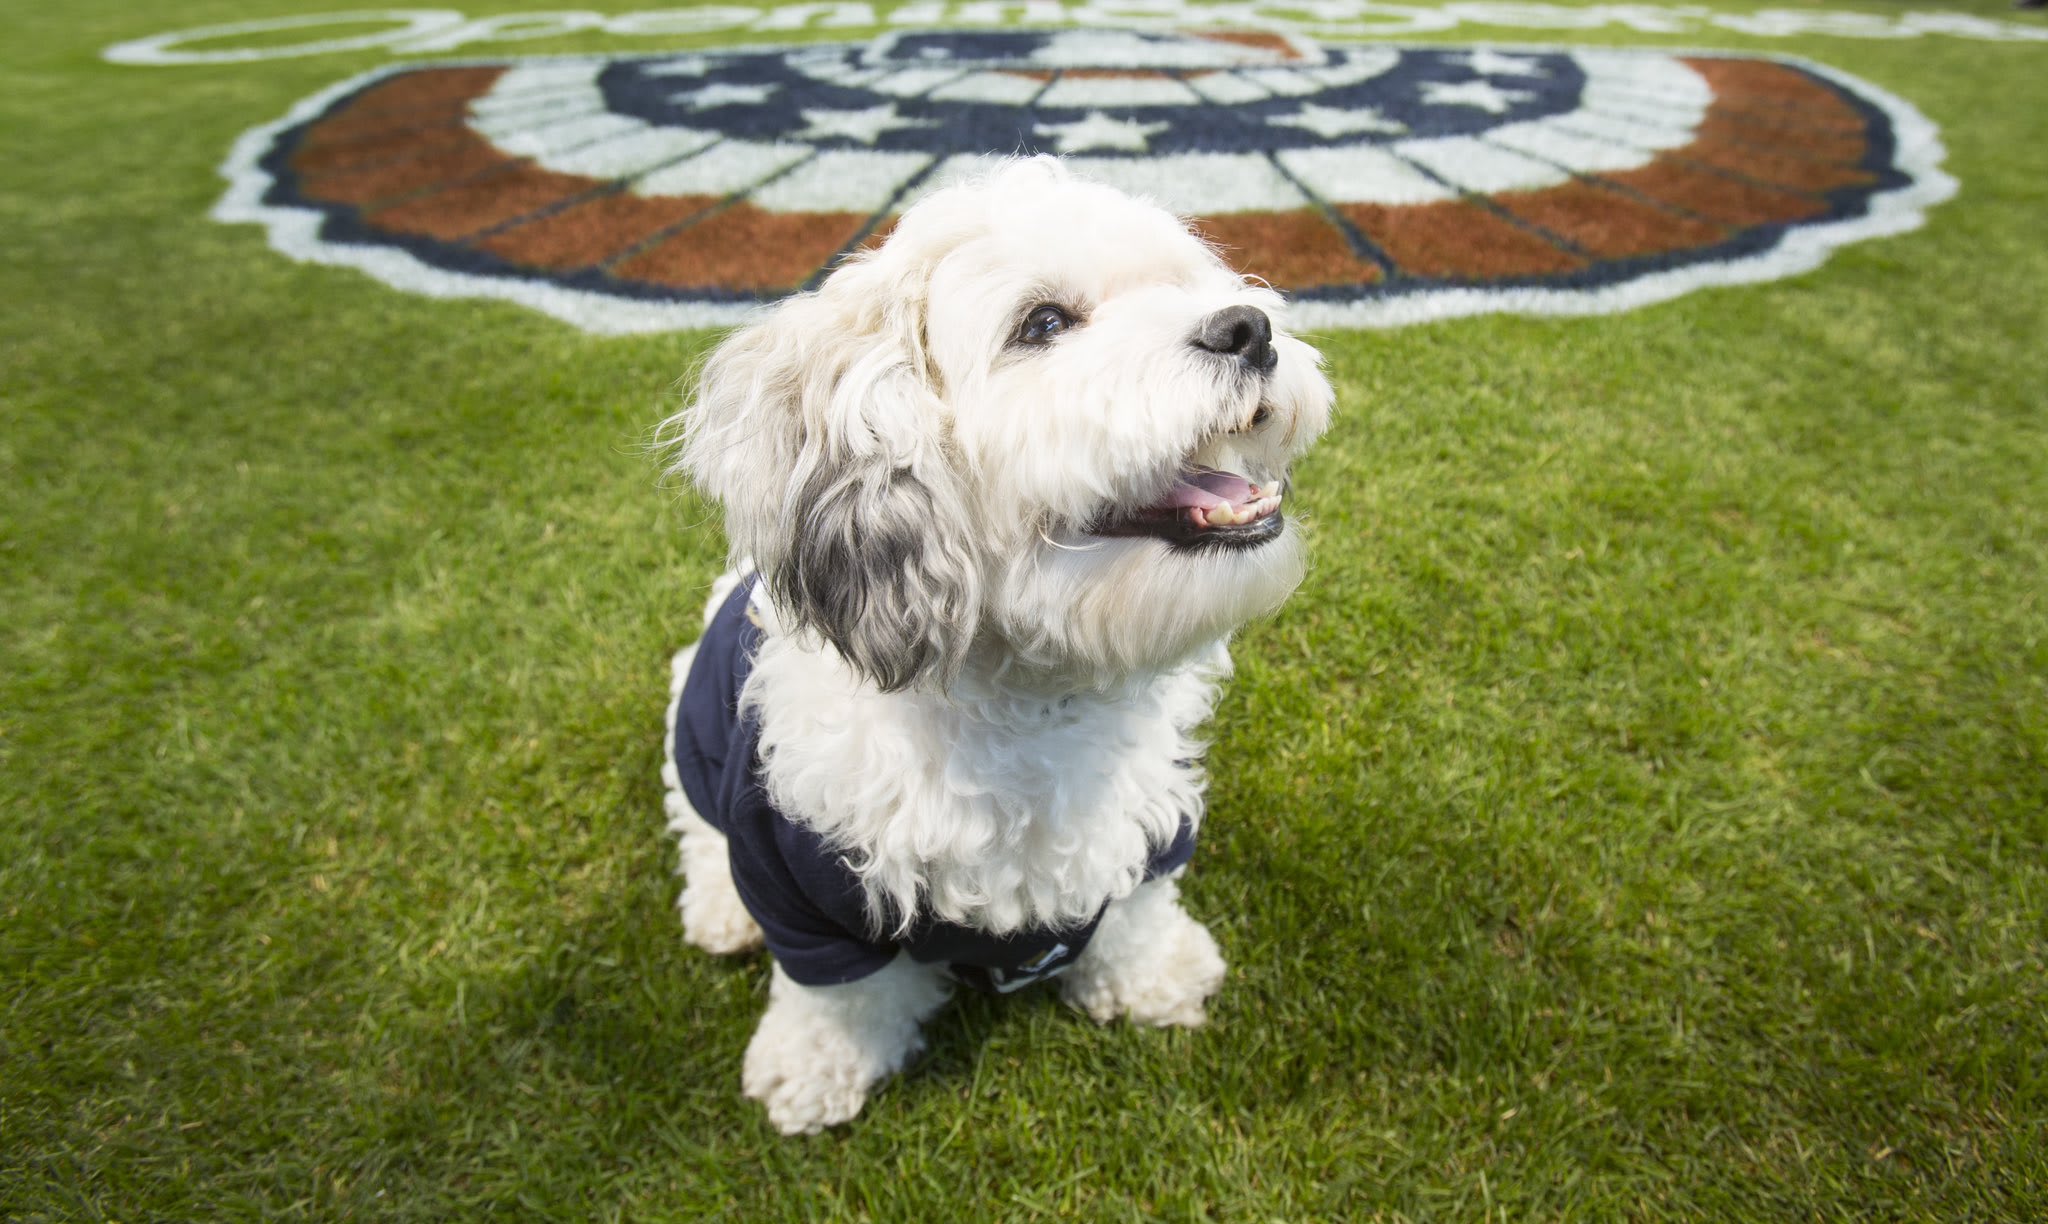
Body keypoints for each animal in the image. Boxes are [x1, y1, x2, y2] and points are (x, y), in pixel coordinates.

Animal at [655, 158, 1327, 1138]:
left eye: (1184, 283)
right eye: (1042, 324)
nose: (1250, 327)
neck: (1033, 697)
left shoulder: (1151, 820)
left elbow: (1138, 903)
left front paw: (1155, 974)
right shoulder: (793, 878)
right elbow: (836, 995)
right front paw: (815, 1066)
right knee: (697, 835)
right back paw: (718, 913)